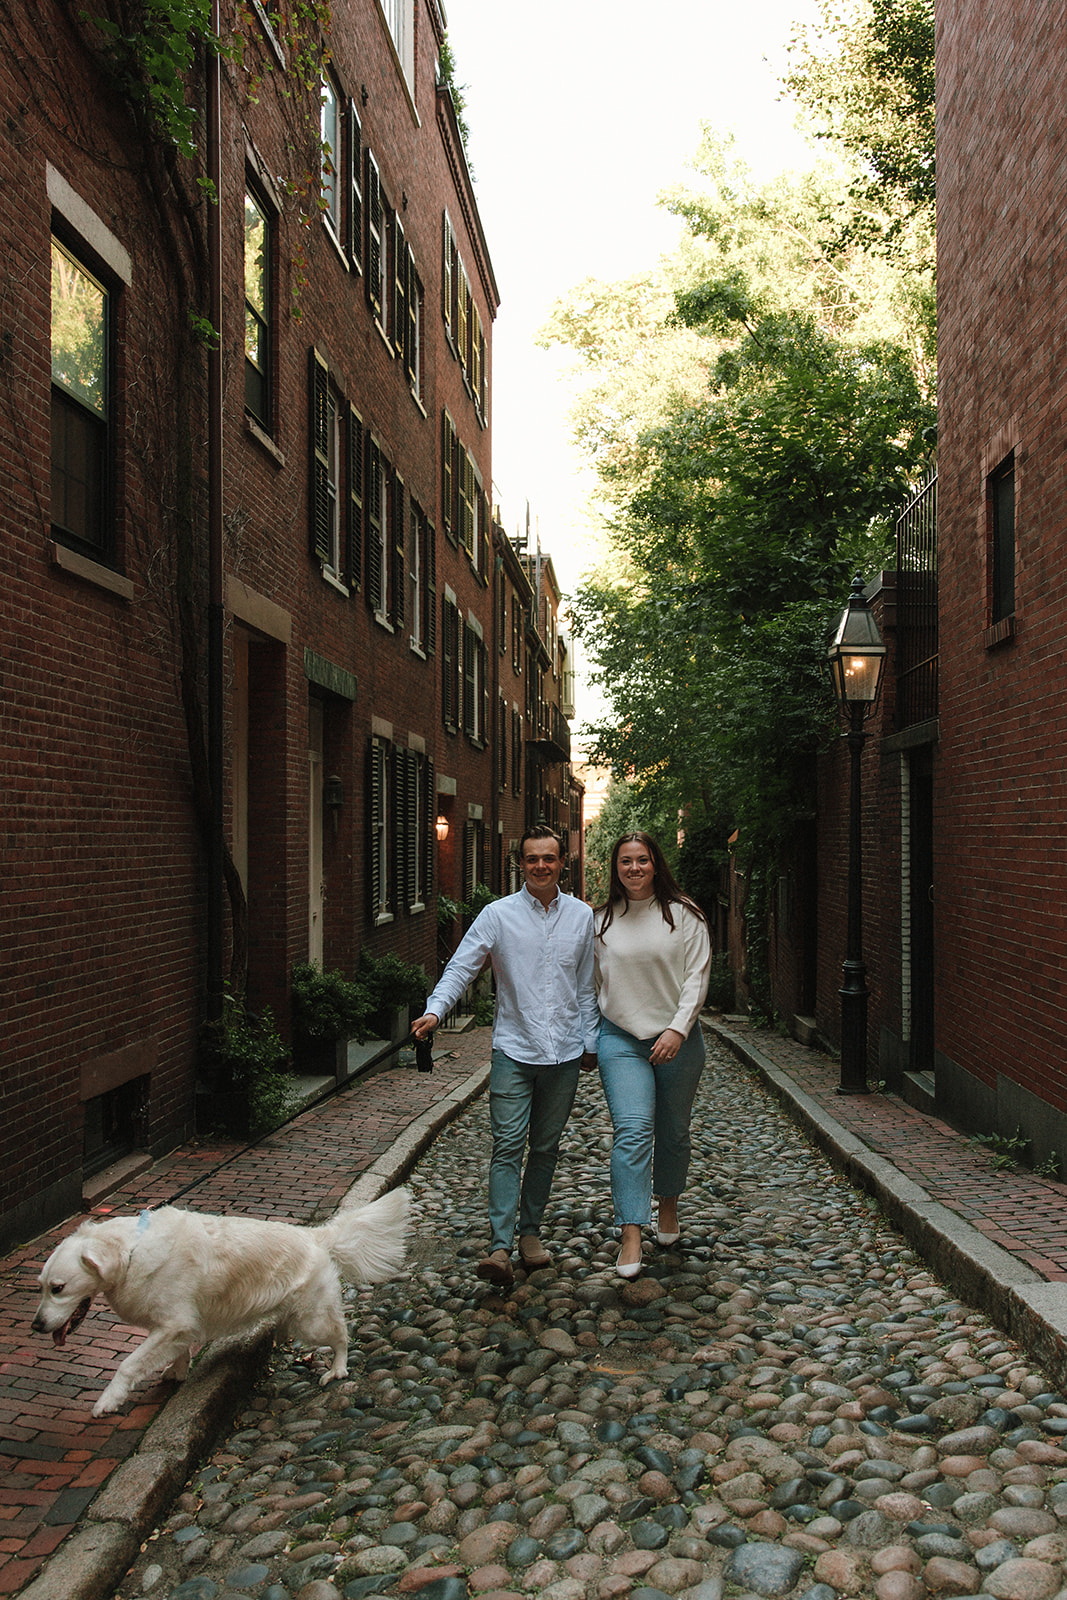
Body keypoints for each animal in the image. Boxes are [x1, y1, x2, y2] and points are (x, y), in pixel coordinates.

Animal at [31, 1184, 409, 1420]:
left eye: (58, 1288)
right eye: (41, 1287)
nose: (36, 1325)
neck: (130, 1252)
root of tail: (316, 1235)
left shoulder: (175, 1322)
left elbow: (128, 1364)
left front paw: (108, 1401)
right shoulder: (175, 1325)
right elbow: (176, 1351)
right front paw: (176, 1372)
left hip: (312, 1320)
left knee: (342, 1336)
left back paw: (337, 1370)